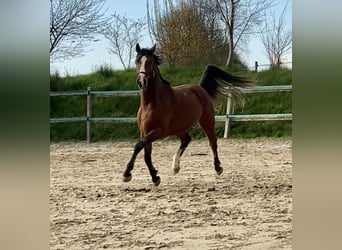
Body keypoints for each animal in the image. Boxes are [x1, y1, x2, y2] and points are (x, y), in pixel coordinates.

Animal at [123, 44, 254, 186]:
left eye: (150, 62)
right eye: (137, 61)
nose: (142, 81)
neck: (151, 103)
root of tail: (200, 88)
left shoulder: (157, 131)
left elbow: (138, 146)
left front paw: (127, 174)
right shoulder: (144, 132)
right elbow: (146, 155)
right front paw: (155, 177)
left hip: (207, 121)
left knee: (212, 142)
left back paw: (218, 168)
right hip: (178, 128)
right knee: (186, 139)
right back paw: (175, 167)